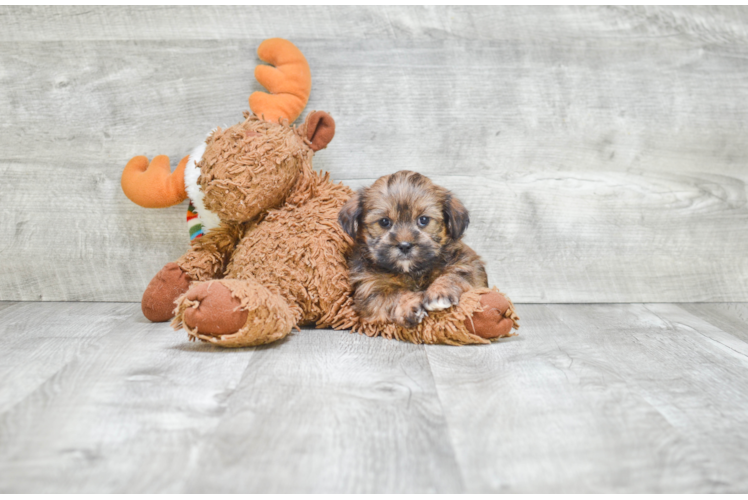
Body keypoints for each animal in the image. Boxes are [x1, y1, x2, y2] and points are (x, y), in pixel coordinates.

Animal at [338, 172, 490, 328]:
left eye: (423, 220)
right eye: (384, 221)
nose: (405, 245)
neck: (412, 272)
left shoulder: (468, 265)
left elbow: (453, 275)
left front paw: (439, 292)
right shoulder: (368, 290)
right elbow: (392, 295)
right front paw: (409, 305)